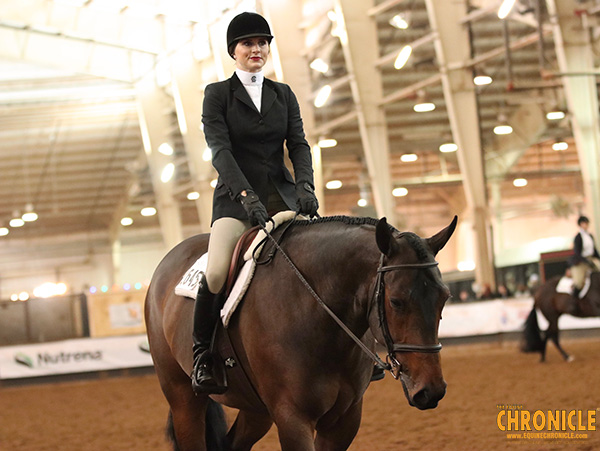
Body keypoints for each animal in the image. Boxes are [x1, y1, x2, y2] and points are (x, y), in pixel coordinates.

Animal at [144, 216, 454, 451]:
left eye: (444, 297)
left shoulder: (345, 418)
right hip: (184, 399)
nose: (431, 391)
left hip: (256, 409)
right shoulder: (293, 418)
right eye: (396, 301)